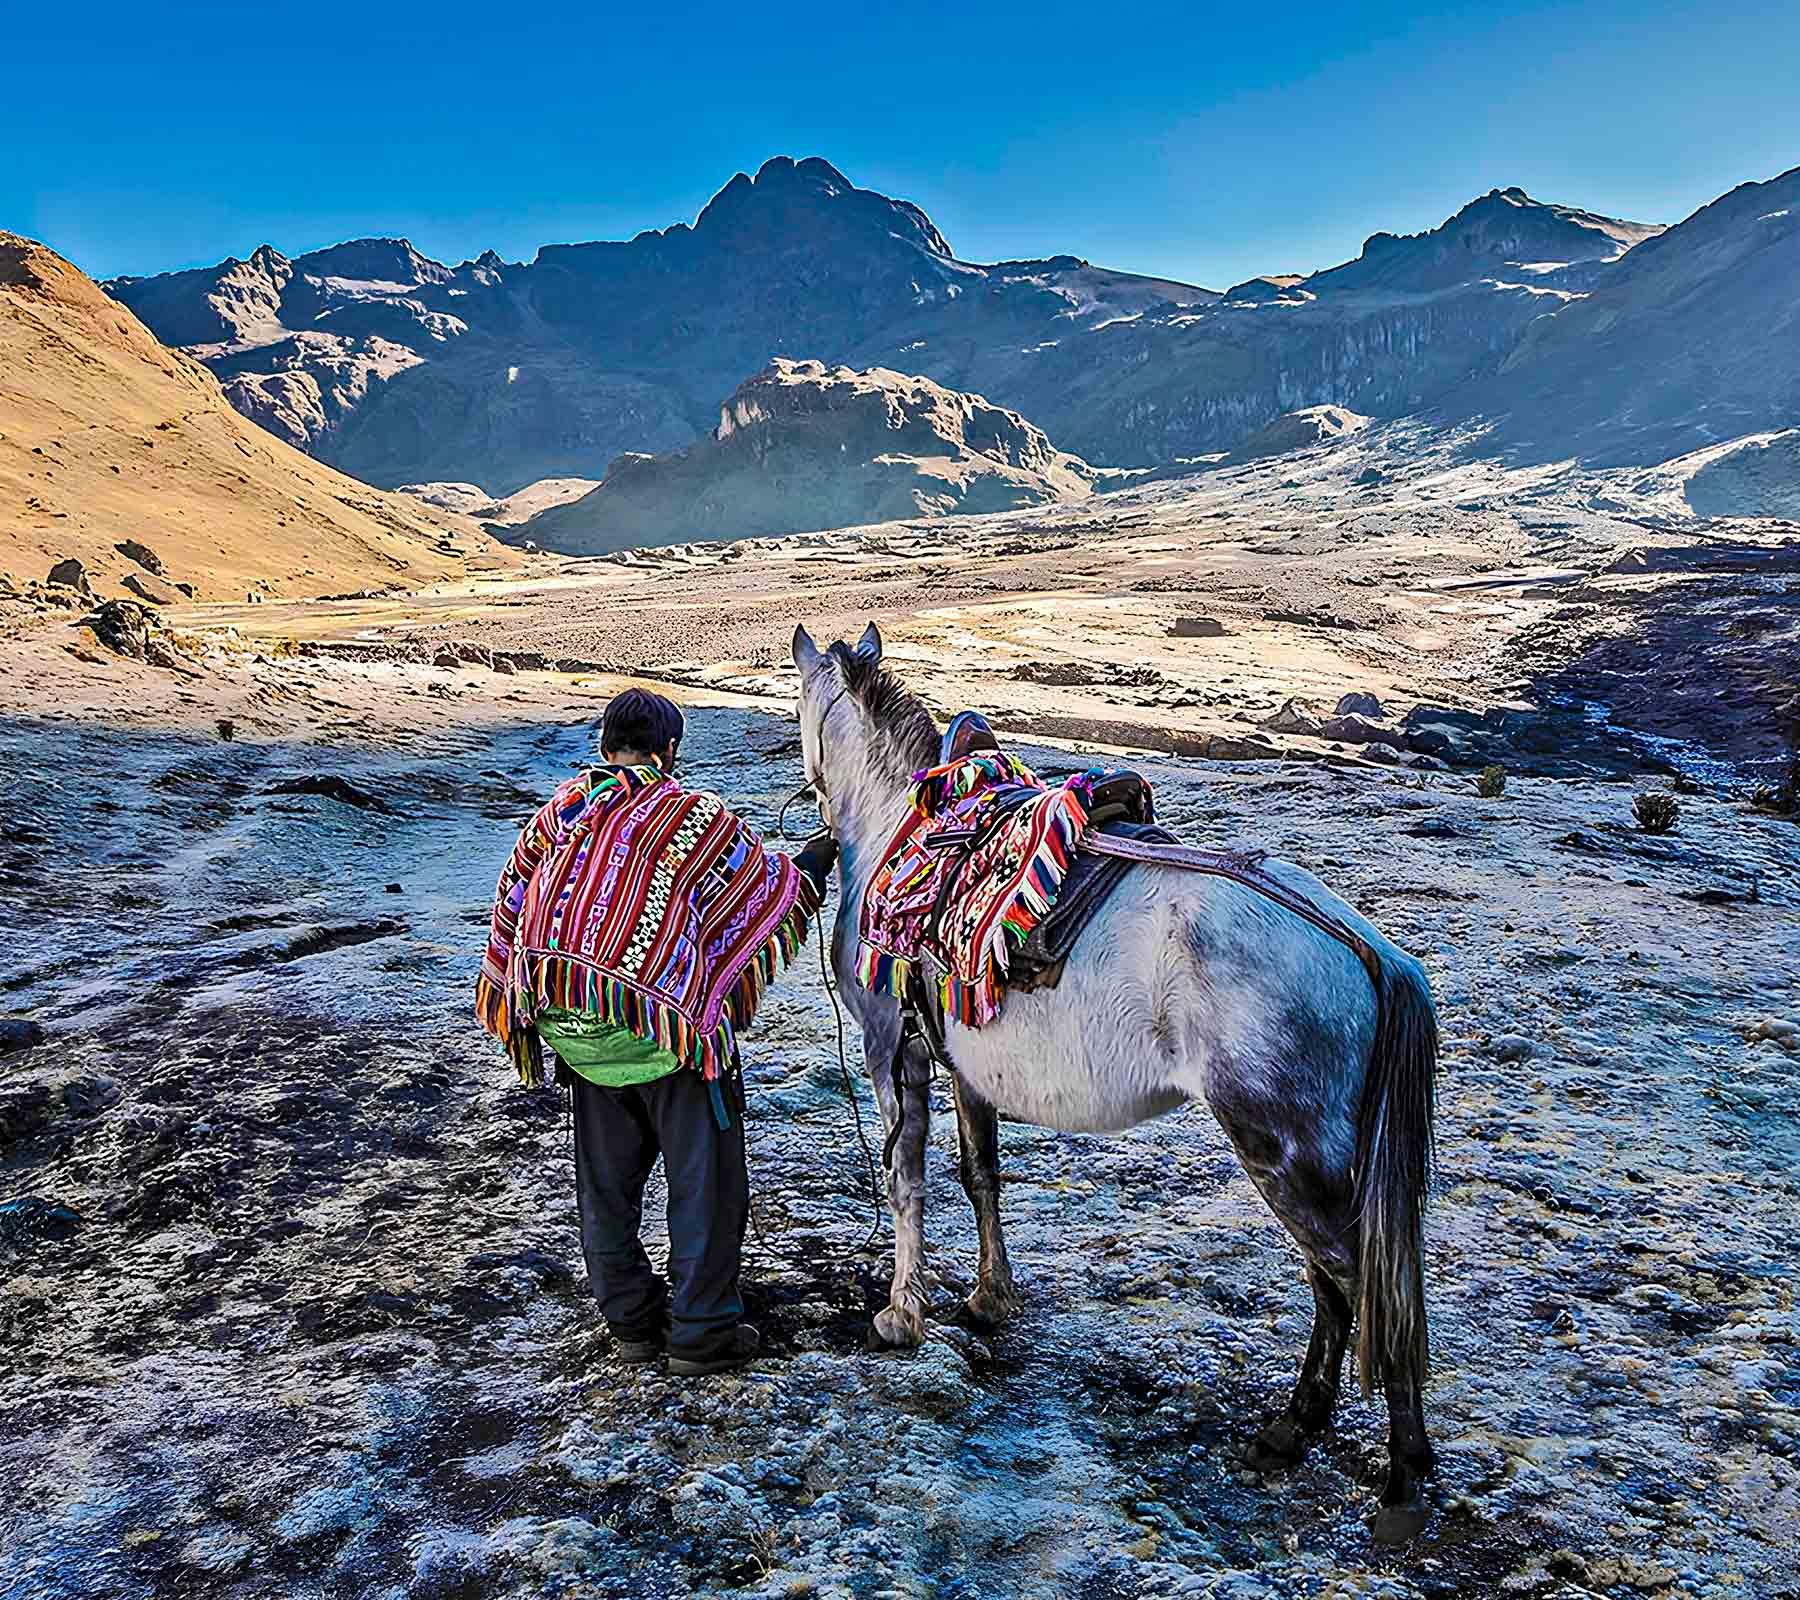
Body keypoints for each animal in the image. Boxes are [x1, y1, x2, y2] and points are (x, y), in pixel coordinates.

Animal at [795, 619, 1440, 1540]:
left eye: (801, 706)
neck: (896, 834)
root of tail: (1369, 947)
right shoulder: (966, 1069)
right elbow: (981, 1175)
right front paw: (991, 1298)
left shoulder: (896, 1055)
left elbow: (906, 1182)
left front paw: (902, 1310)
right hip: (1321, 1159)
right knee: (1350, 1284)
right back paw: (1302, 1431)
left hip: (1284, 1153)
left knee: (1357, 1284)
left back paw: (1395, 1474)